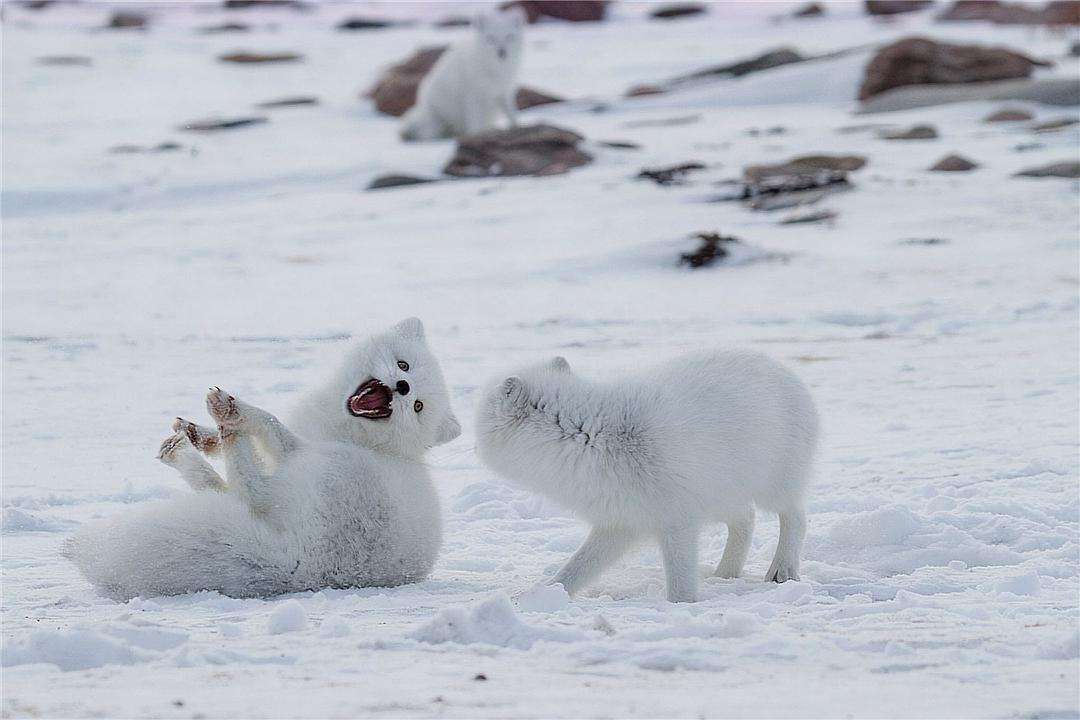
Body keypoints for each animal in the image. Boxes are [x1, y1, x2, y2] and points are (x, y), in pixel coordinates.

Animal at [63, 317, 460, 600]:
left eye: (418, 407)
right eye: (403, 365)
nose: (403, 388)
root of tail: (302, 569)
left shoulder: (297, 446)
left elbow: (271, 423)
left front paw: (233, 415)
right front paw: (203, 435)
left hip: (325, 468)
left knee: (249, 488)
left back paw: (224, 422)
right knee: (229, 490)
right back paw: (190, 445)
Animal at [401, 7, 527, 141]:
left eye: (509, 37)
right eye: (491, 38)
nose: (502, 52)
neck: (495, 70)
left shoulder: (504, 92)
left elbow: (512, 114)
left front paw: (517, 128)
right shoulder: (473, 96)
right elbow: (474, 123)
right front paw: (477, 135)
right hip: (436, 120)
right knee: (428, 136)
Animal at [475, 349, 816, 604]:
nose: (472, 441)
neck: (591, 437)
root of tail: (785, 371)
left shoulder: (676, 520)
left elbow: (680, 579)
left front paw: (682, 607)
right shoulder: (620, 522)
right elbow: (579, 566)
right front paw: (542, 595)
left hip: (773, 486)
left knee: (796, 517)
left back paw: (782, 570)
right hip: (722, 494)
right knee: (746, 519)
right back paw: (725, 574)